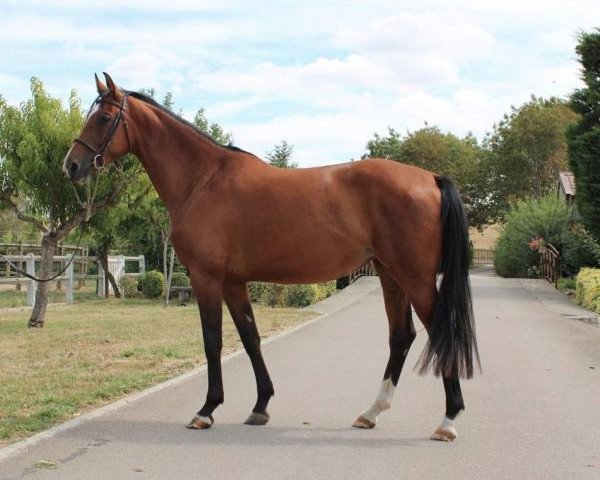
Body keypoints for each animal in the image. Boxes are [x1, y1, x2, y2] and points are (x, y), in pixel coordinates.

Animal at [64, 72, 478, 442]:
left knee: (435, 332)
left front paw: (206, 410)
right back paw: (371, 412)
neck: (203, 179)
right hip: (391, 275)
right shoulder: (233, 282)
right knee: (401, 336)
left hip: (415, 278)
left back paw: (448, 420)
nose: (72, 165)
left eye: (104, 118)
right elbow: (250, 338)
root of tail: (431, 179)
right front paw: (260, 406)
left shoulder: (206, 277)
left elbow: (212, 341)